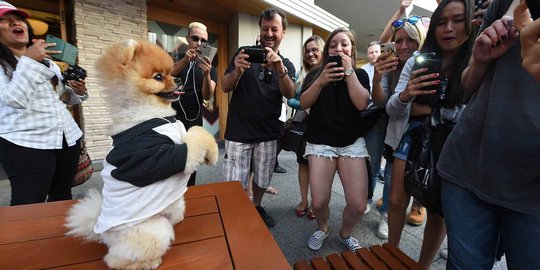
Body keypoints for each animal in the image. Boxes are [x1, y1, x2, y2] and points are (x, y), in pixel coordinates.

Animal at [63, 40, 215, 270]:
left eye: (170, 73)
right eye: (158, 77)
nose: (179, 79)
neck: (153, 115)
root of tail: (101, 230)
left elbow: (195, 131)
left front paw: (209, 155)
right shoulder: (165, 156)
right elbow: (198, 136)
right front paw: (213, 154)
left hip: (175, 203)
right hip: (153, 229)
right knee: (115, 258)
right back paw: (145, 262)